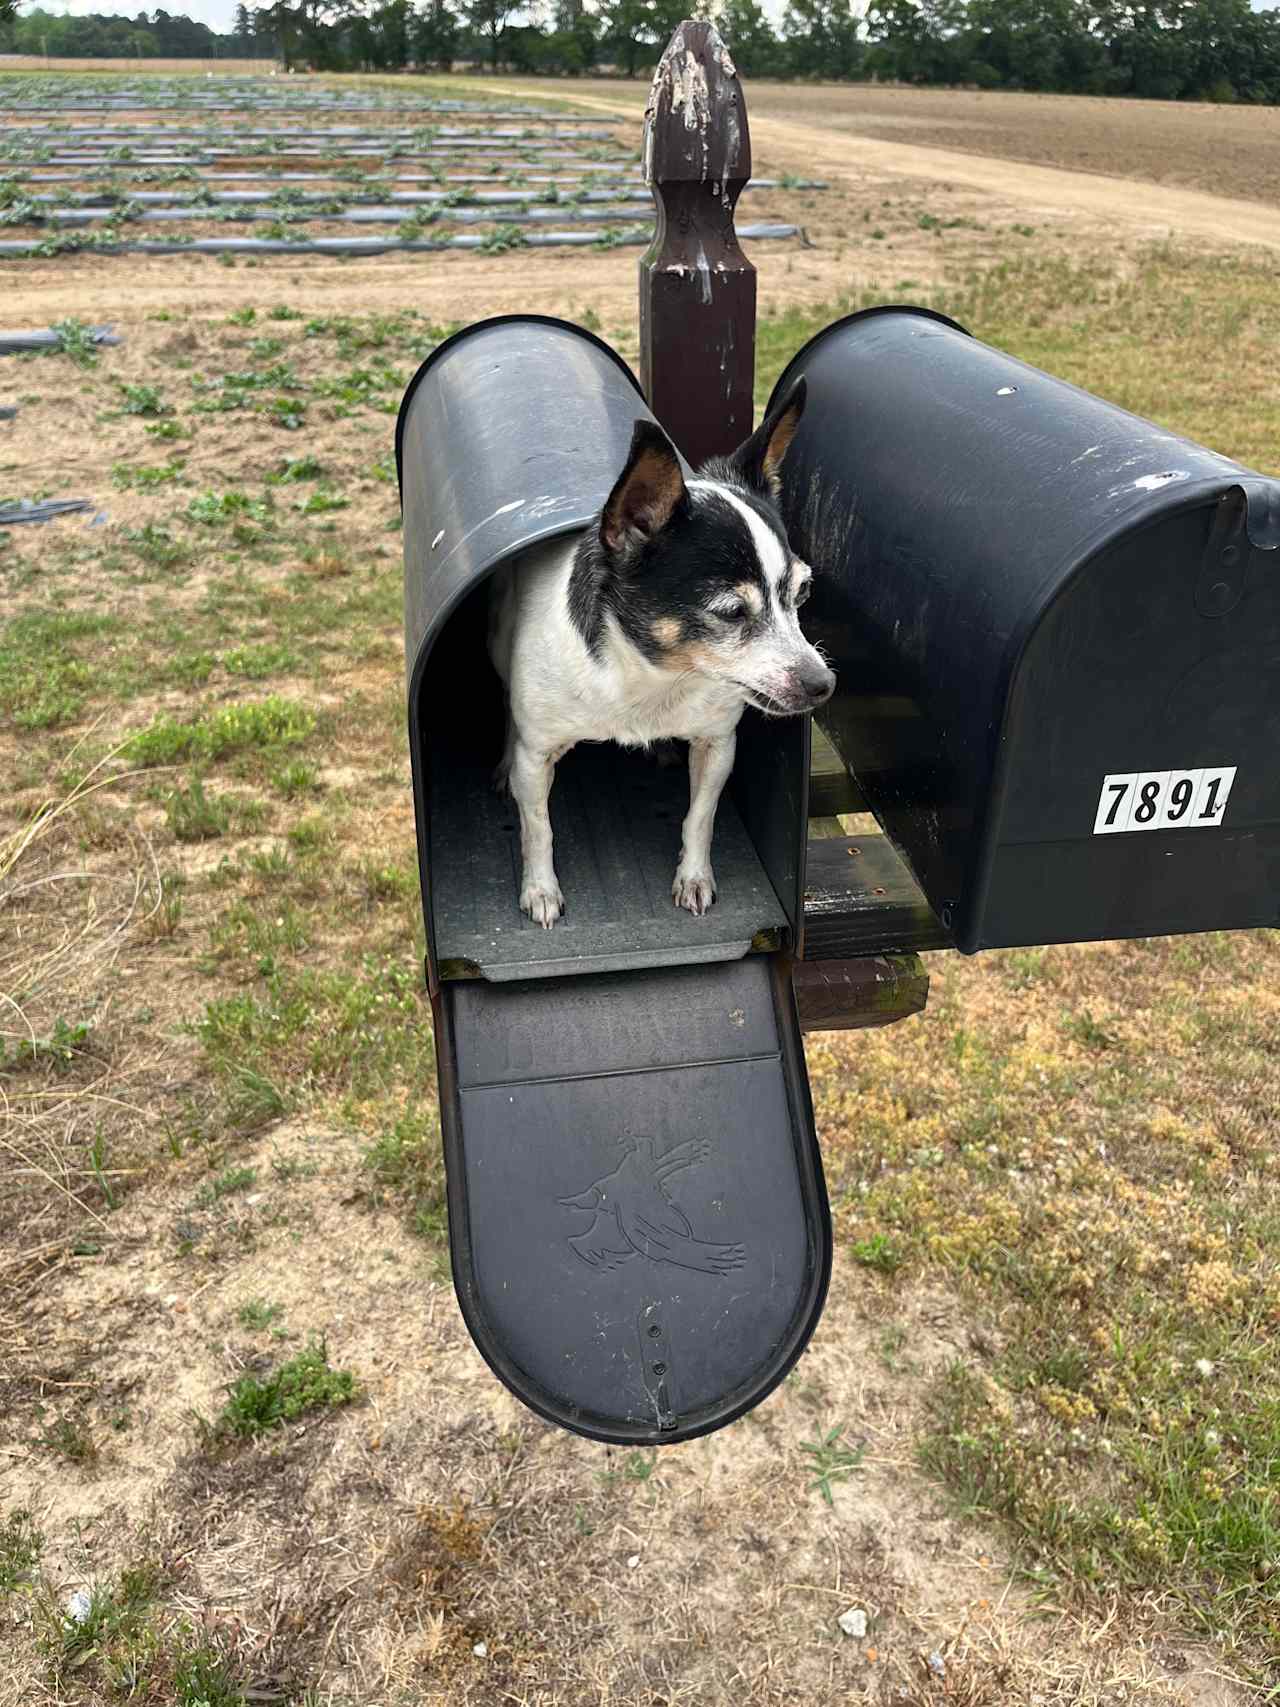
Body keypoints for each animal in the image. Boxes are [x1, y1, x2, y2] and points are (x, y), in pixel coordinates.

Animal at [484, 380, 836, 928]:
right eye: (732, 612)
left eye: (802, 593)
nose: (824, 684)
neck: (655, 677)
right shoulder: (538, 757)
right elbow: (538, 828)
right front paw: (540, 889)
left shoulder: (716, 746)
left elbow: (700, 817)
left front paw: (694, 877)